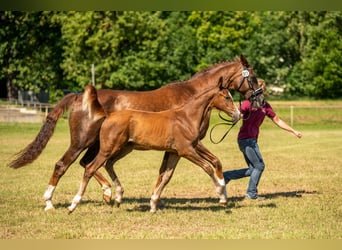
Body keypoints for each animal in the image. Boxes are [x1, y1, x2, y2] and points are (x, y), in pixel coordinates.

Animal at [67, 82, 240, 213]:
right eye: (227, 97)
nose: (238, 115)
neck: (186, 118)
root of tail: (108, 116)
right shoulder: (187, 150)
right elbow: (207, 168)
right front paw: (222, 197)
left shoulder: (175, 153)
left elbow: (166, 176)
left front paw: (153, 203)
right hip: (108, 149)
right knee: (90, 168)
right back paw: (73, 205)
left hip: (125, 148)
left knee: (108, 164)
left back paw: (118, 196)